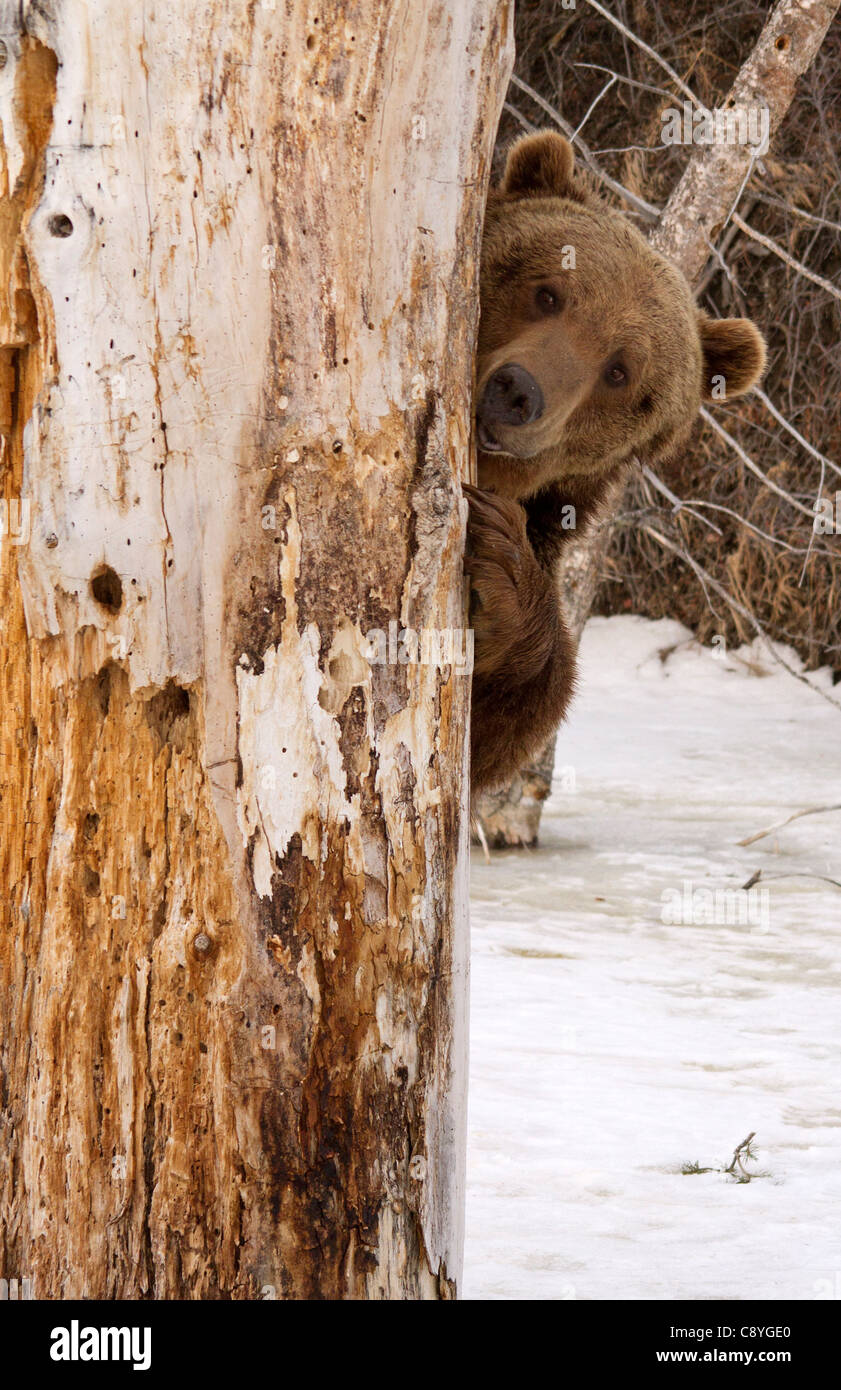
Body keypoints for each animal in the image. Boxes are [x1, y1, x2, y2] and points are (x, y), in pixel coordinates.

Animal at [466, 130, 766, 795]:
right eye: (547, 292)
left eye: (620, 371)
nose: (517, 392)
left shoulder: (549, 518)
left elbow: (503, 726)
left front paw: (502, 567)